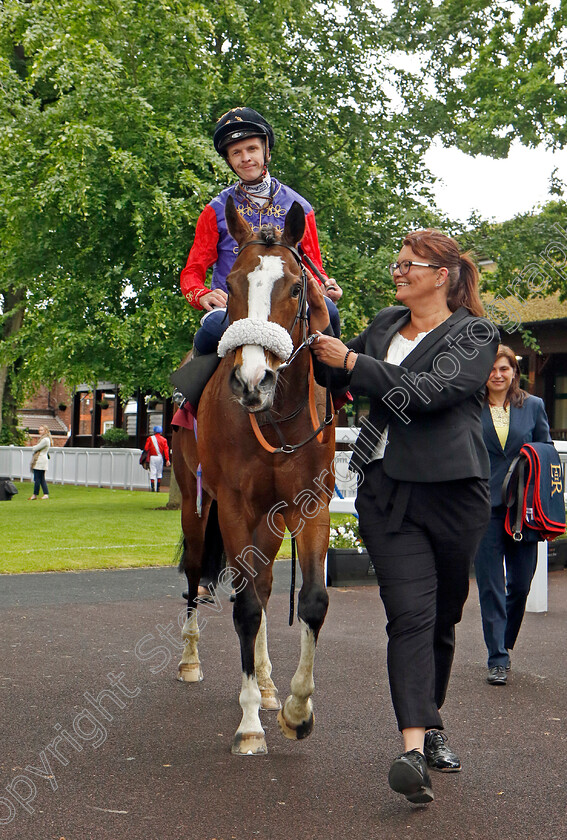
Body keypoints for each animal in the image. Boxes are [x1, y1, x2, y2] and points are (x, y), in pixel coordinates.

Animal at [171, 197, 336, 756]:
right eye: (234, 283)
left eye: (296, 287)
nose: (251, 380)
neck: (277, 417)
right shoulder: (236, 506)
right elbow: (242, 607)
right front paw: (248, 727)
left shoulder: (310, 505)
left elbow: (310, 600)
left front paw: (297, 711)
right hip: (197, 505)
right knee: (198, 576)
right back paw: (191, 661)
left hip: (271, 519)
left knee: (263, 586)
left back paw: (266, 686)